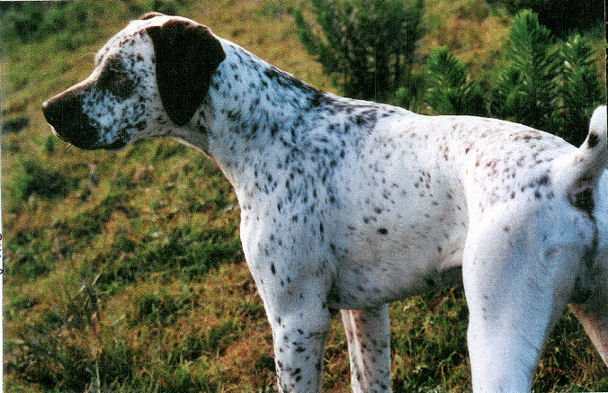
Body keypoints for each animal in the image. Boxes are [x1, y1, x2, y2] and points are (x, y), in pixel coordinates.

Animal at [41, 13, 608, 392]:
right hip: (596, 320)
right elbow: (370, 380)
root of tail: (570, 172)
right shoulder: (366, 312)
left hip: (496, 337)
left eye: (117, 76)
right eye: (97, 65)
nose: (48, 110)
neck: (270, 131)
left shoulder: (296, 322)